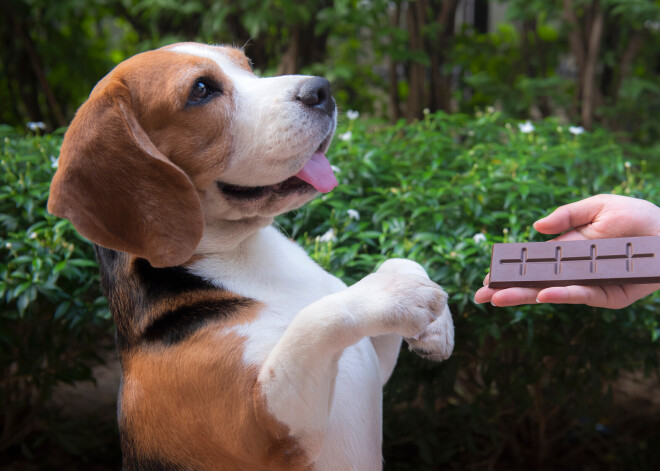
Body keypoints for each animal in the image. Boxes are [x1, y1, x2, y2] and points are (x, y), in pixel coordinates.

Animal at [47, 42, 454, 470]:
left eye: (247, 66)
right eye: (201, 89)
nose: (322, 90)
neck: (243, 253)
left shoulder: (375, 365)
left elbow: (397, 262)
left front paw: (435, 326)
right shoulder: (264, 425)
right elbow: (315, 319)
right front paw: (396, 293)